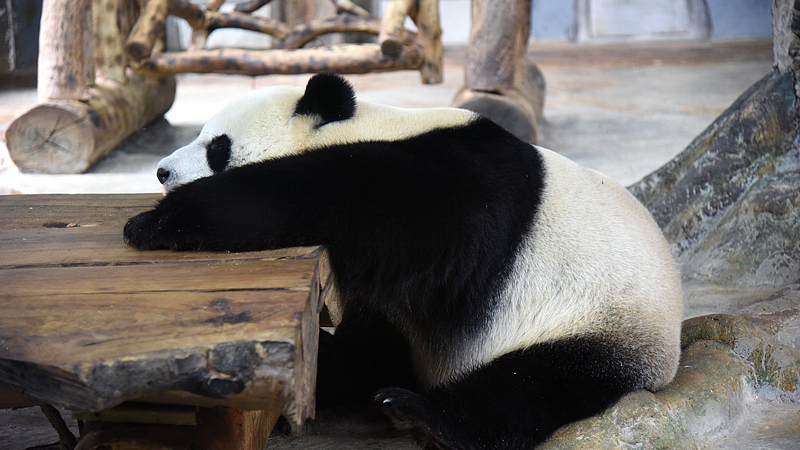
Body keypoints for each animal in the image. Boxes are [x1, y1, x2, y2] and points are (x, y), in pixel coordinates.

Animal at [125, 73, 682, 450]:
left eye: (216, 146)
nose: (161, 171)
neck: (377, 122)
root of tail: (668, 350)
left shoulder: (451, 185)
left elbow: (330, 198)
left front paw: (156, 222)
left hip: (595, 322)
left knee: (532, 386)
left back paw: (420, 415)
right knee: (379, 348)